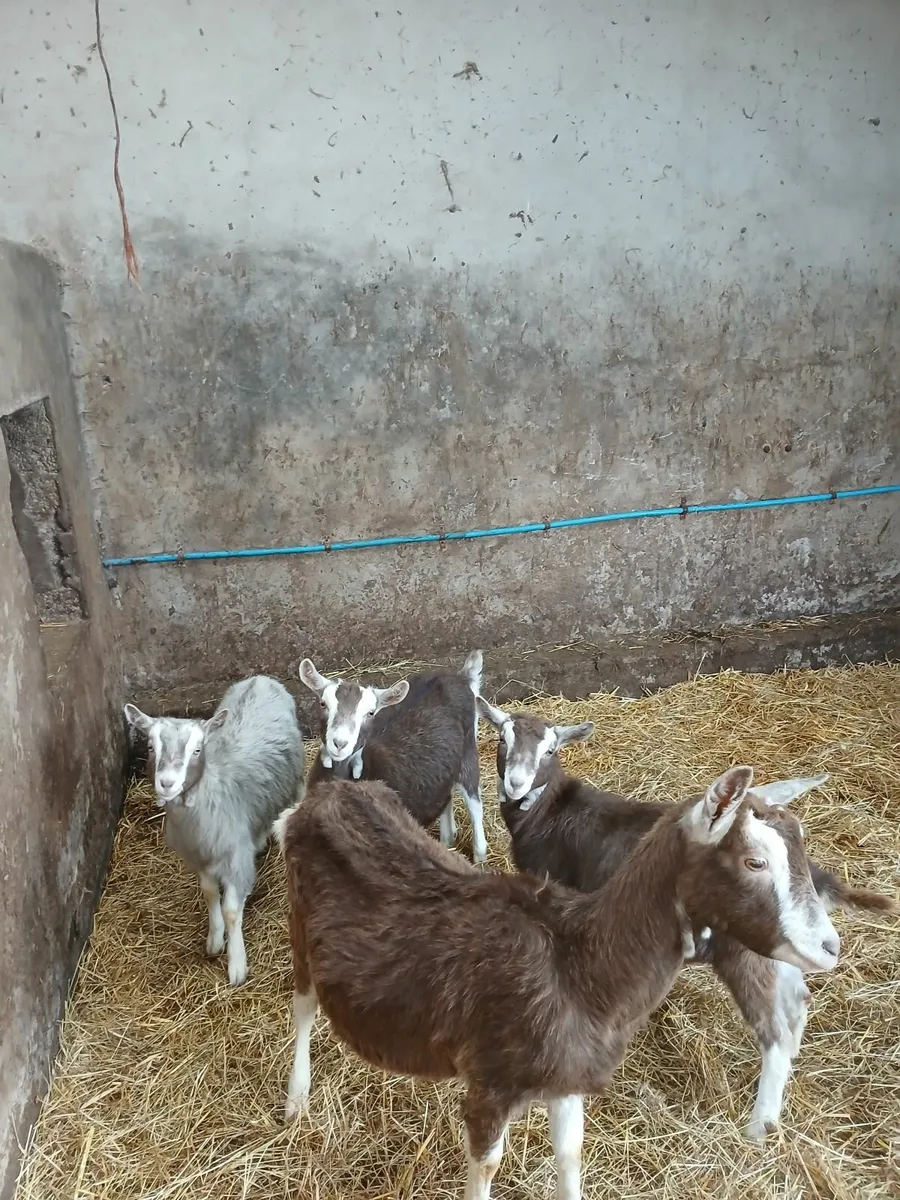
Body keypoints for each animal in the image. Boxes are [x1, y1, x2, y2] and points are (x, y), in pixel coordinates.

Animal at [124, 675, 304, 985]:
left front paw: (237, 964)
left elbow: (232, 910)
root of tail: (260, 679)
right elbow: (209, 893)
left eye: (197, 750)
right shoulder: (197, 857)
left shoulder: (236, 857)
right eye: (150, 747)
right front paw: (215, 940)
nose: (167, 782)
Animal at [275, 768, 840, 1199]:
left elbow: (569, 1156)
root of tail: (321, 797)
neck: (581, 970)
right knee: (302, 1005)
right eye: (754, 861)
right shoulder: (489, 1082)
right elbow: (487, 1165)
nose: (830, 947)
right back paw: (296, 1099)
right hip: (301, 929)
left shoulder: (566, 1076)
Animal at [297, 649, 488, 863]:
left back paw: (479, 855)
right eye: (323, 704)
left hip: (468, 751)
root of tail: (460, 677)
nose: (340, 743)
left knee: (474, 802)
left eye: (371, 713)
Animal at [476, 697, 899, 1143]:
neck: (550, 811)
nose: (516, 784)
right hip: (783, 952)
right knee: (797, 1002)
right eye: (502, 739)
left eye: (550, 750)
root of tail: (818, 880)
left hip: (748, 955)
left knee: (775, 1032)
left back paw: (758, 1128)